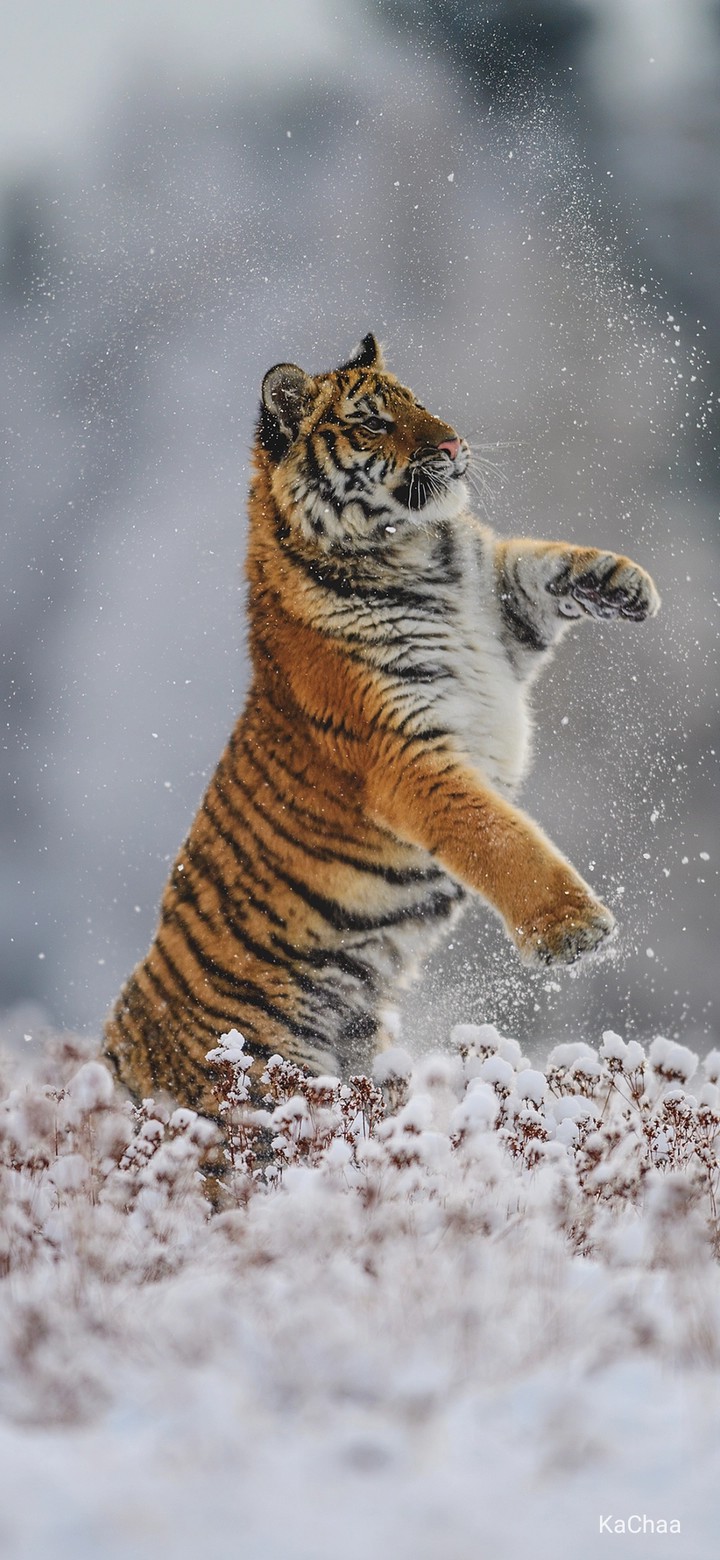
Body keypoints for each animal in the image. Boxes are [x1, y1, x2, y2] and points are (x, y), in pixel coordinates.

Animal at [104, 332, 660, 1117]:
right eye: (372, 422)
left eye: (417, 402)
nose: (454, 444)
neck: (421, 556)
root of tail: (117, 1050)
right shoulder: (409, 754)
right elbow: (501, 837)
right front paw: (575, 932)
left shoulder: (501, 622)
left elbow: (536, 564)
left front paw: (625, 582)